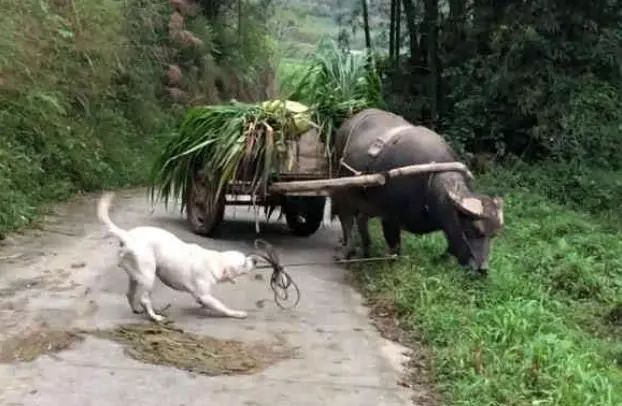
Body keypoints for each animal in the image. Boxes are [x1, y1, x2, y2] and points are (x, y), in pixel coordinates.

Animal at [95, 192, 256, 322]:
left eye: (246, 257)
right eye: (243, 263)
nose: (255, 260)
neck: (214, 261)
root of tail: (127, 236)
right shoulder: (206, 295)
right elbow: (222, 307)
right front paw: (237, 313)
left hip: (135, 277)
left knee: (130, 294)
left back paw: (136, 309)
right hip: (148, 276)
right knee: (144, 299)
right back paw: (155, 317)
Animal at [332, 108, 508, 272]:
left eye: (493, 234)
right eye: (474, 230)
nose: (482, 269)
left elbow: (450, 246)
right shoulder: (389, 217)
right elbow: (395, 247)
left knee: (361, 219)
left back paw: (366, 248)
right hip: (343, 187)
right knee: (345, 218)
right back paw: (347, 250)